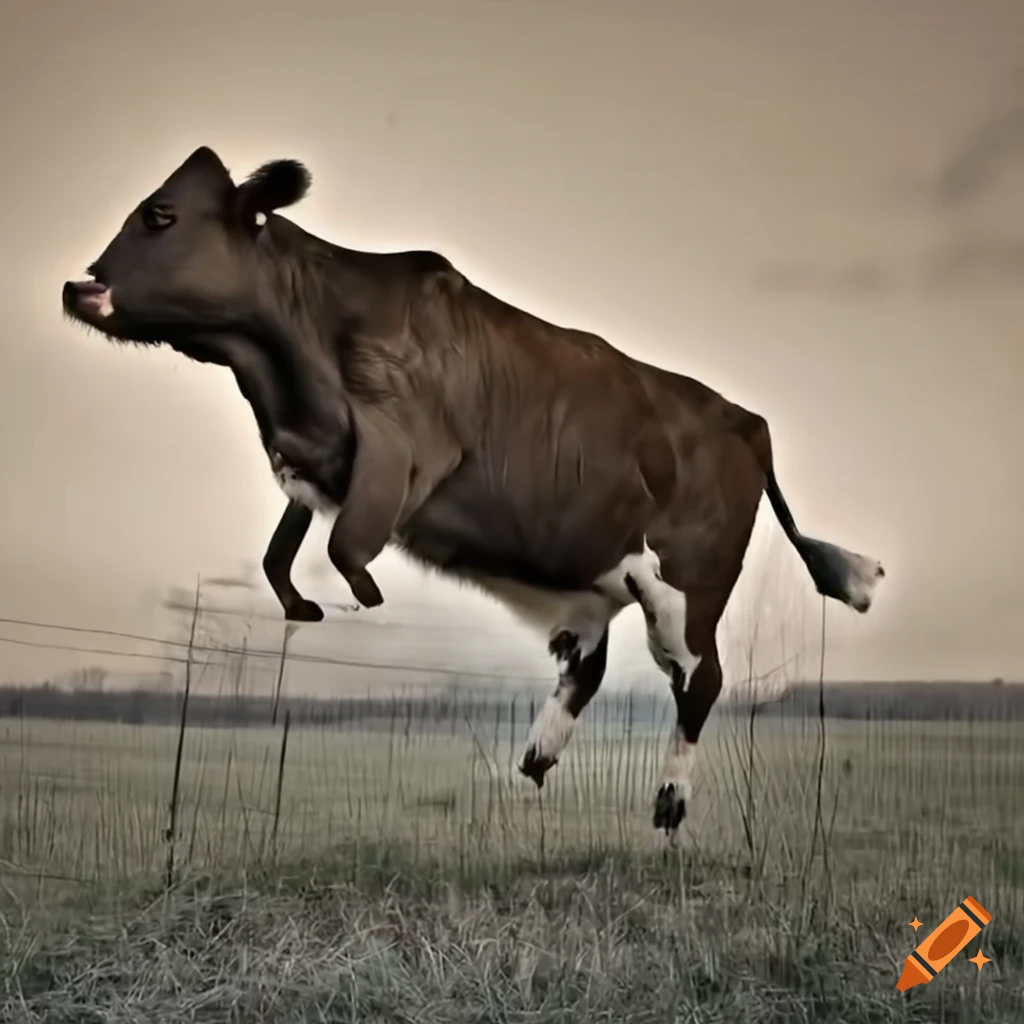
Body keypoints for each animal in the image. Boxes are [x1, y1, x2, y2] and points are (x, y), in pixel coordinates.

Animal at [62, 147, 885, 833]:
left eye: (162, 215)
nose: (81, 285)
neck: (289, 368)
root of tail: (746, 419)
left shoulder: (407, 450)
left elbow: (345, 543)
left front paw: (360, 595)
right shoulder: (312, 458)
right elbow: (281, 550)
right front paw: (304, 603)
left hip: (688, 585)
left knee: (700, 678)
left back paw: (669, 800)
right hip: (595, 575)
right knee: (588, 666)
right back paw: (538, 754)